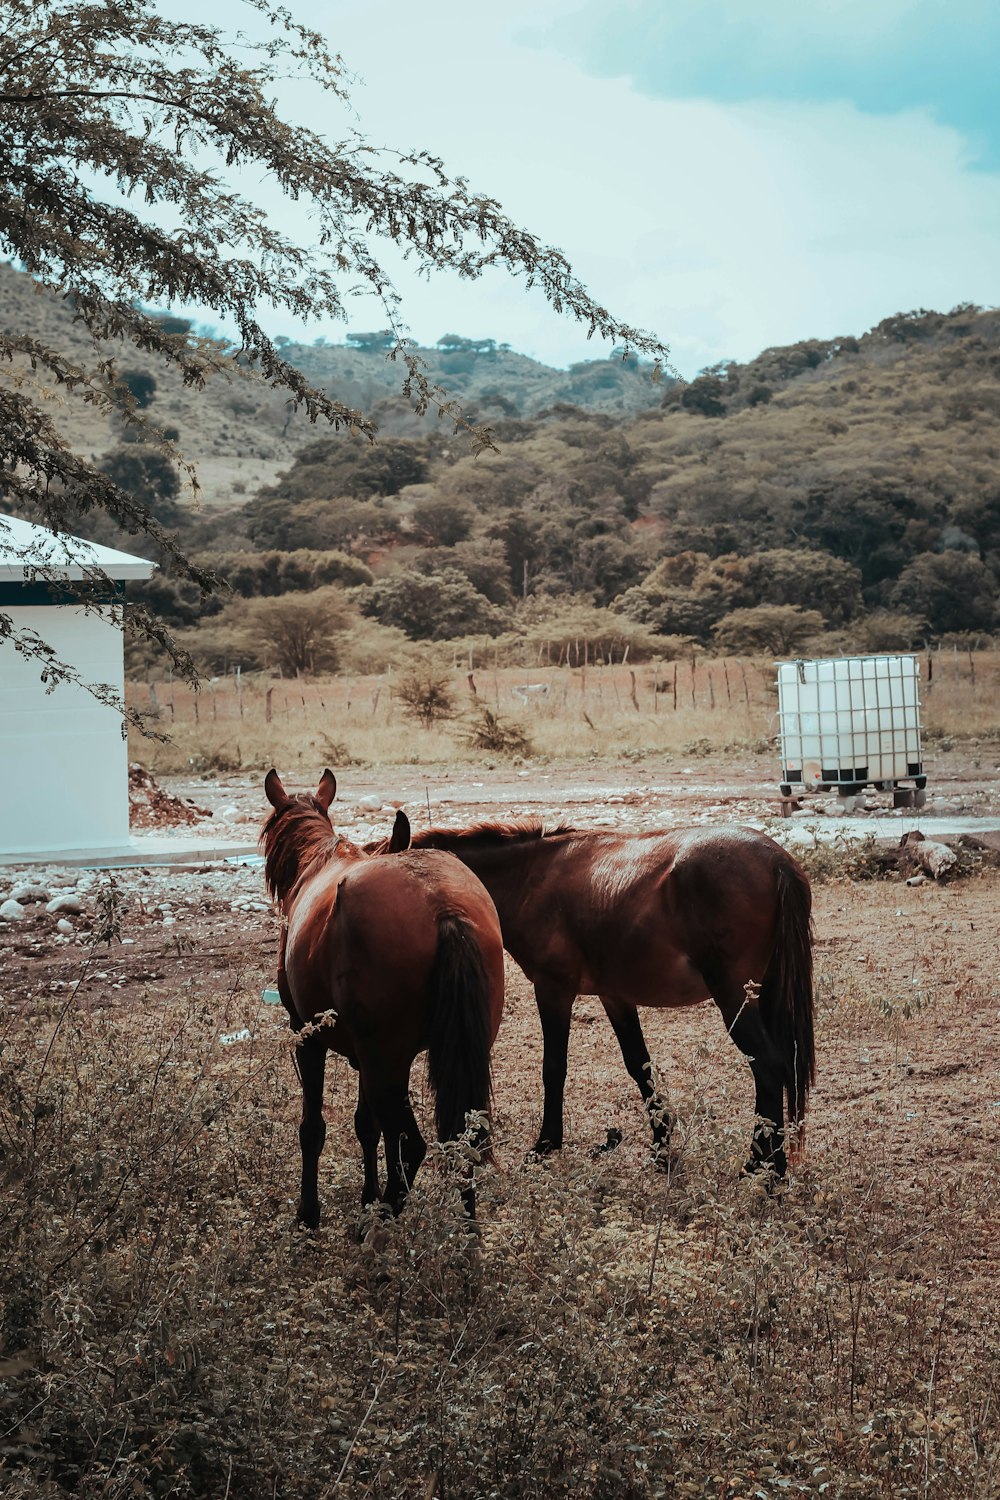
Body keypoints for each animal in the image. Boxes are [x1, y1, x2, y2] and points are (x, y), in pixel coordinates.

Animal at [260, 768, 503, 1224]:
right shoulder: (371, 1057)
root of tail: (443, 904)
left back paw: (381, 1222)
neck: (316, 862)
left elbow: (313, 1129)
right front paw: (368, 1195)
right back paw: (464, 1231)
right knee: (462, 1140)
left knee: (415, 1145)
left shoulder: (307, 1034)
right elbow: (369, 1127)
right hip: (428, 1055)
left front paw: (309, 1213)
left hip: (382, 1059)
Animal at [398, 822, 815, 1182]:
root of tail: (777, 861)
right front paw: (661, 1147)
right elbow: (639, 1066)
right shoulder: (615, 995)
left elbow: (554, 1068)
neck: (534, 878)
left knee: (768, 1067)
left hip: (734, 998)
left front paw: (546, 1145)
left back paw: (763, 1169)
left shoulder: (553, 990)